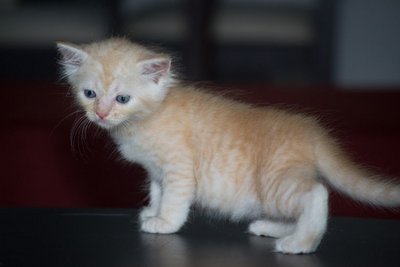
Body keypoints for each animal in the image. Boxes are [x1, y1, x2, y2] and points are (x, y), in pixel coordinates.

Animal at [56, 38, 400, 255]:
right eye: (89, 94)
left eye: (122, 98)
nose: (101, 114)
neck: (145, 120)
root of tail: (313, 131)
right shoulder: (156, 172)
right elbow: (157, 192)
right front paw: (152, 211)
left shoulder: (179, 168)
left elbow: (174, 199)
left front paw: (164, 222)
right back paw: (274, 228)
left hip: (275, 183)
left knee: (316, 194)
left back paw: (300, 243)